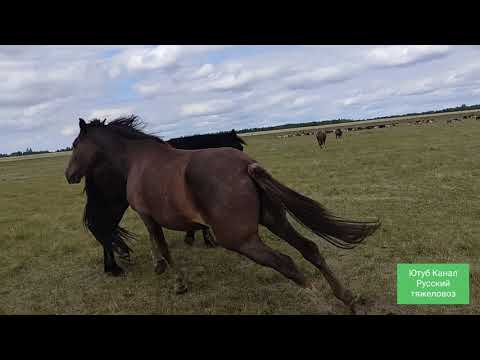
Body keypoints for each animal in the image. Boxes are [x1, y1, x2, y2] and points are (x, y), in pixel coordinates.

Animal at [81, 124, 248, 276]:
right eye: (238, 147)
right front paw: (204, 240)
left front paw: (192, 237)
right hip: (114, 205)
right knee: (103, 228)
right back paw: (114, 267)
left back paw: (113, 266)